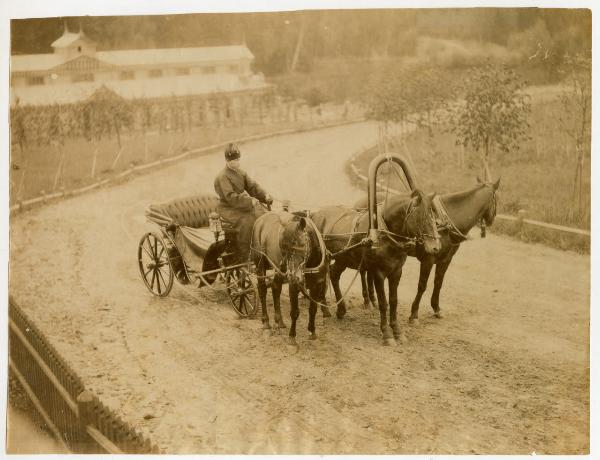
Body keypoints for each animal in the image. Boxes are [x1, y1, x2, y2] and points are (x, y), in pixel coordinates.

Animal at [250, 210, 328, 344]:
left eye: (301, 244)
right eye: (284, 248)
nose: (293, 276)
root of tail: (259, 220)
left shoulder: (318, 284)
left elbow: (313, 309)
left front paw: (312, 331)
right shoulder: (294, 286)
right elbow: (295, 312)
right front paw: (292, 337)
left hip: (279, 270)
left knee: (276, 288)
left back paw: (279, 321)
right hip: (260, 264)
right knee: (262, 290)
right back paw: (266, 323)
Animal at [310, 190, 440, 344]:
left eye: (434, 218)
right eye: (422, 217)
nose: (436, 247)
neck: (382, 234)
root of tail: (315, 214)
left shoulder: (396, 272)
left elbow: (393, 301)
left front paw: (397, 331)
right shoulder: (379, 273)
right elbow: (383, 302)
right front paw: (387, 334)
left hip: (343, 259)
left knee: (333, 275)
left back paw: (339, 310)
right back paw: (326, 309)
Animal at [358, 176, 500, 324]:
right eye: (496, 199)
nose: (492, 220)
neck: (447, 220)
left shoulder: (445, 260)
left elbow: (438, 283)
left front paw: (436, 308)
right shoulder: (428, 259)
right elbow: (422, 285)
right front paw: (414, 314)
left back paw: (373, 299)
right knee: (362, 271)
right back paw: (367, 300)